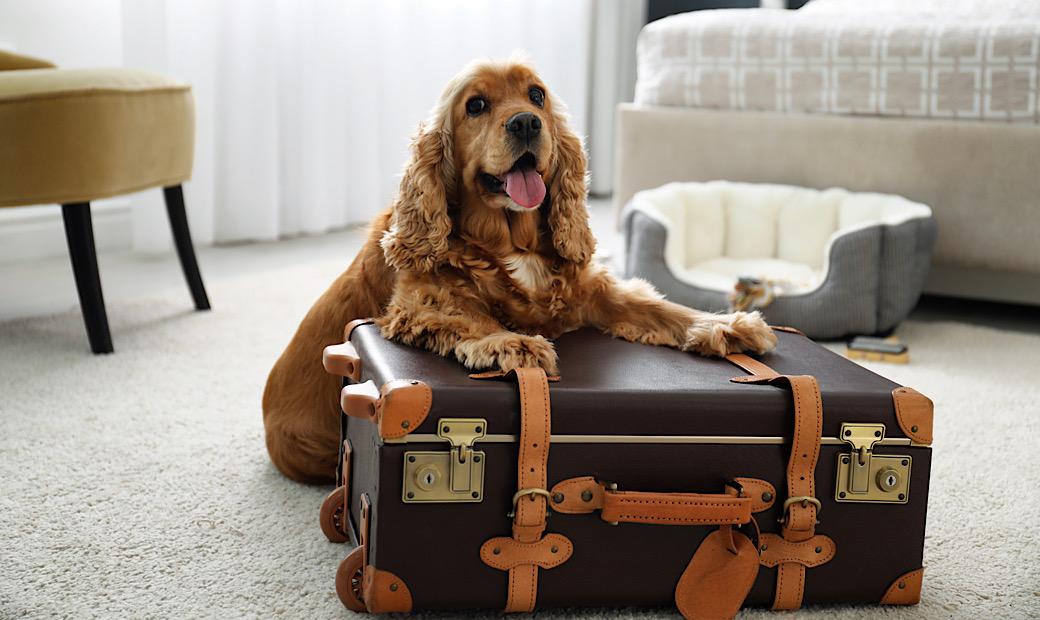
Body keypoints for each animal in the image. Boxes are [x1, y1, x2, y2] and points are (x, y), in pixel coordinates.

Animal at [264, 56, 777, 484]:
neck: (512, 240)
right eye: (476, 105)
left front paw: (726, 325)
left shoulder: (590, 291)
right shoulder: (419, 303)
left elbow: (661, 308)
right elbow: (473, 317)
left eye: (537, 96)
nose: (527, 122)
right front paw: (513, 343)